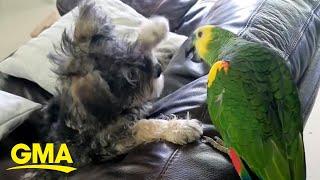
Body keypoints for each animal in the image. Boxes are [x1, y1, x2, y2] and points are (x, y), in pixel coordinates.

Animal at [22, 1, 202, 179]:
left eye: (129, 48)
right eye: (130, 76)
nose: (157, 70)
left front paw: (169, 48)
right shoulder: (108, 143)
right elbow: (143, 126)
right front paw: (182, 128)